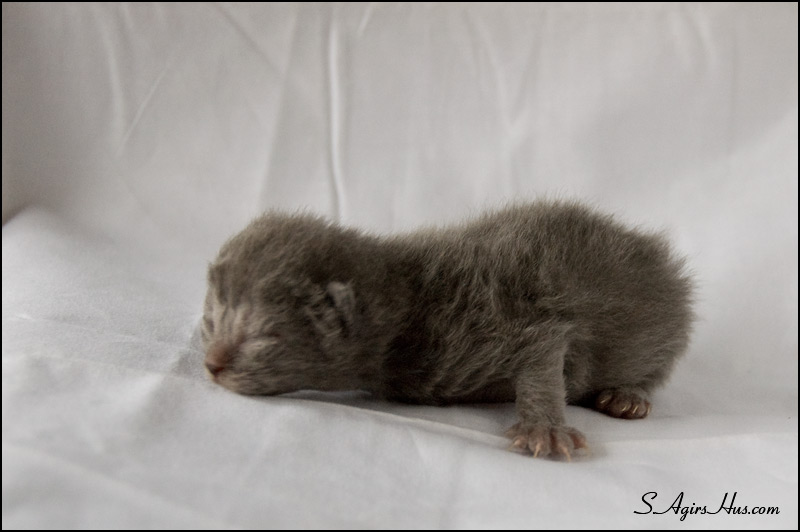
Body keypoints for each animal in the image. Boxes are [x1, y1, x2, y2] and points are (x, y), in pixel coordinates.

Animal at [202, 202, 692, 460]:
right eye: (210, 321)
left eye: (260, 338)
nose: (210, 365)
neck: (409, 295)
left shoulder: (510, 313)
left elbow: (545, 358)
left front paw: (544, 429)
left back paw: (626, 397)